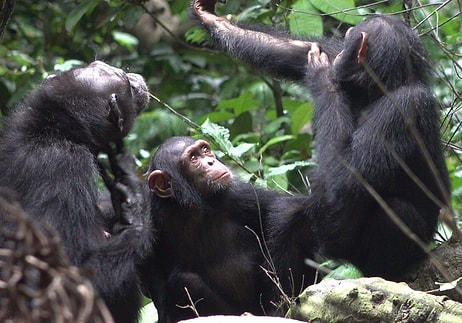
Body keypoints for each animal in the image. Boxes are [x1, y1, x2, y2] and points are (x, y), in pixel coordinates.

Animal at [192, 0, 452, 298]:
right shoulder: (337, 59)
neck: (379, 89)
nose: (340, 57)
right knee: (292, 216)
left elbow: (345, 177)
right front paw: (209, 18)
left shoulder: (403, 107)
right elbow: (293, 51)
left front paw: (321, 77)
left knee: (397, 210)